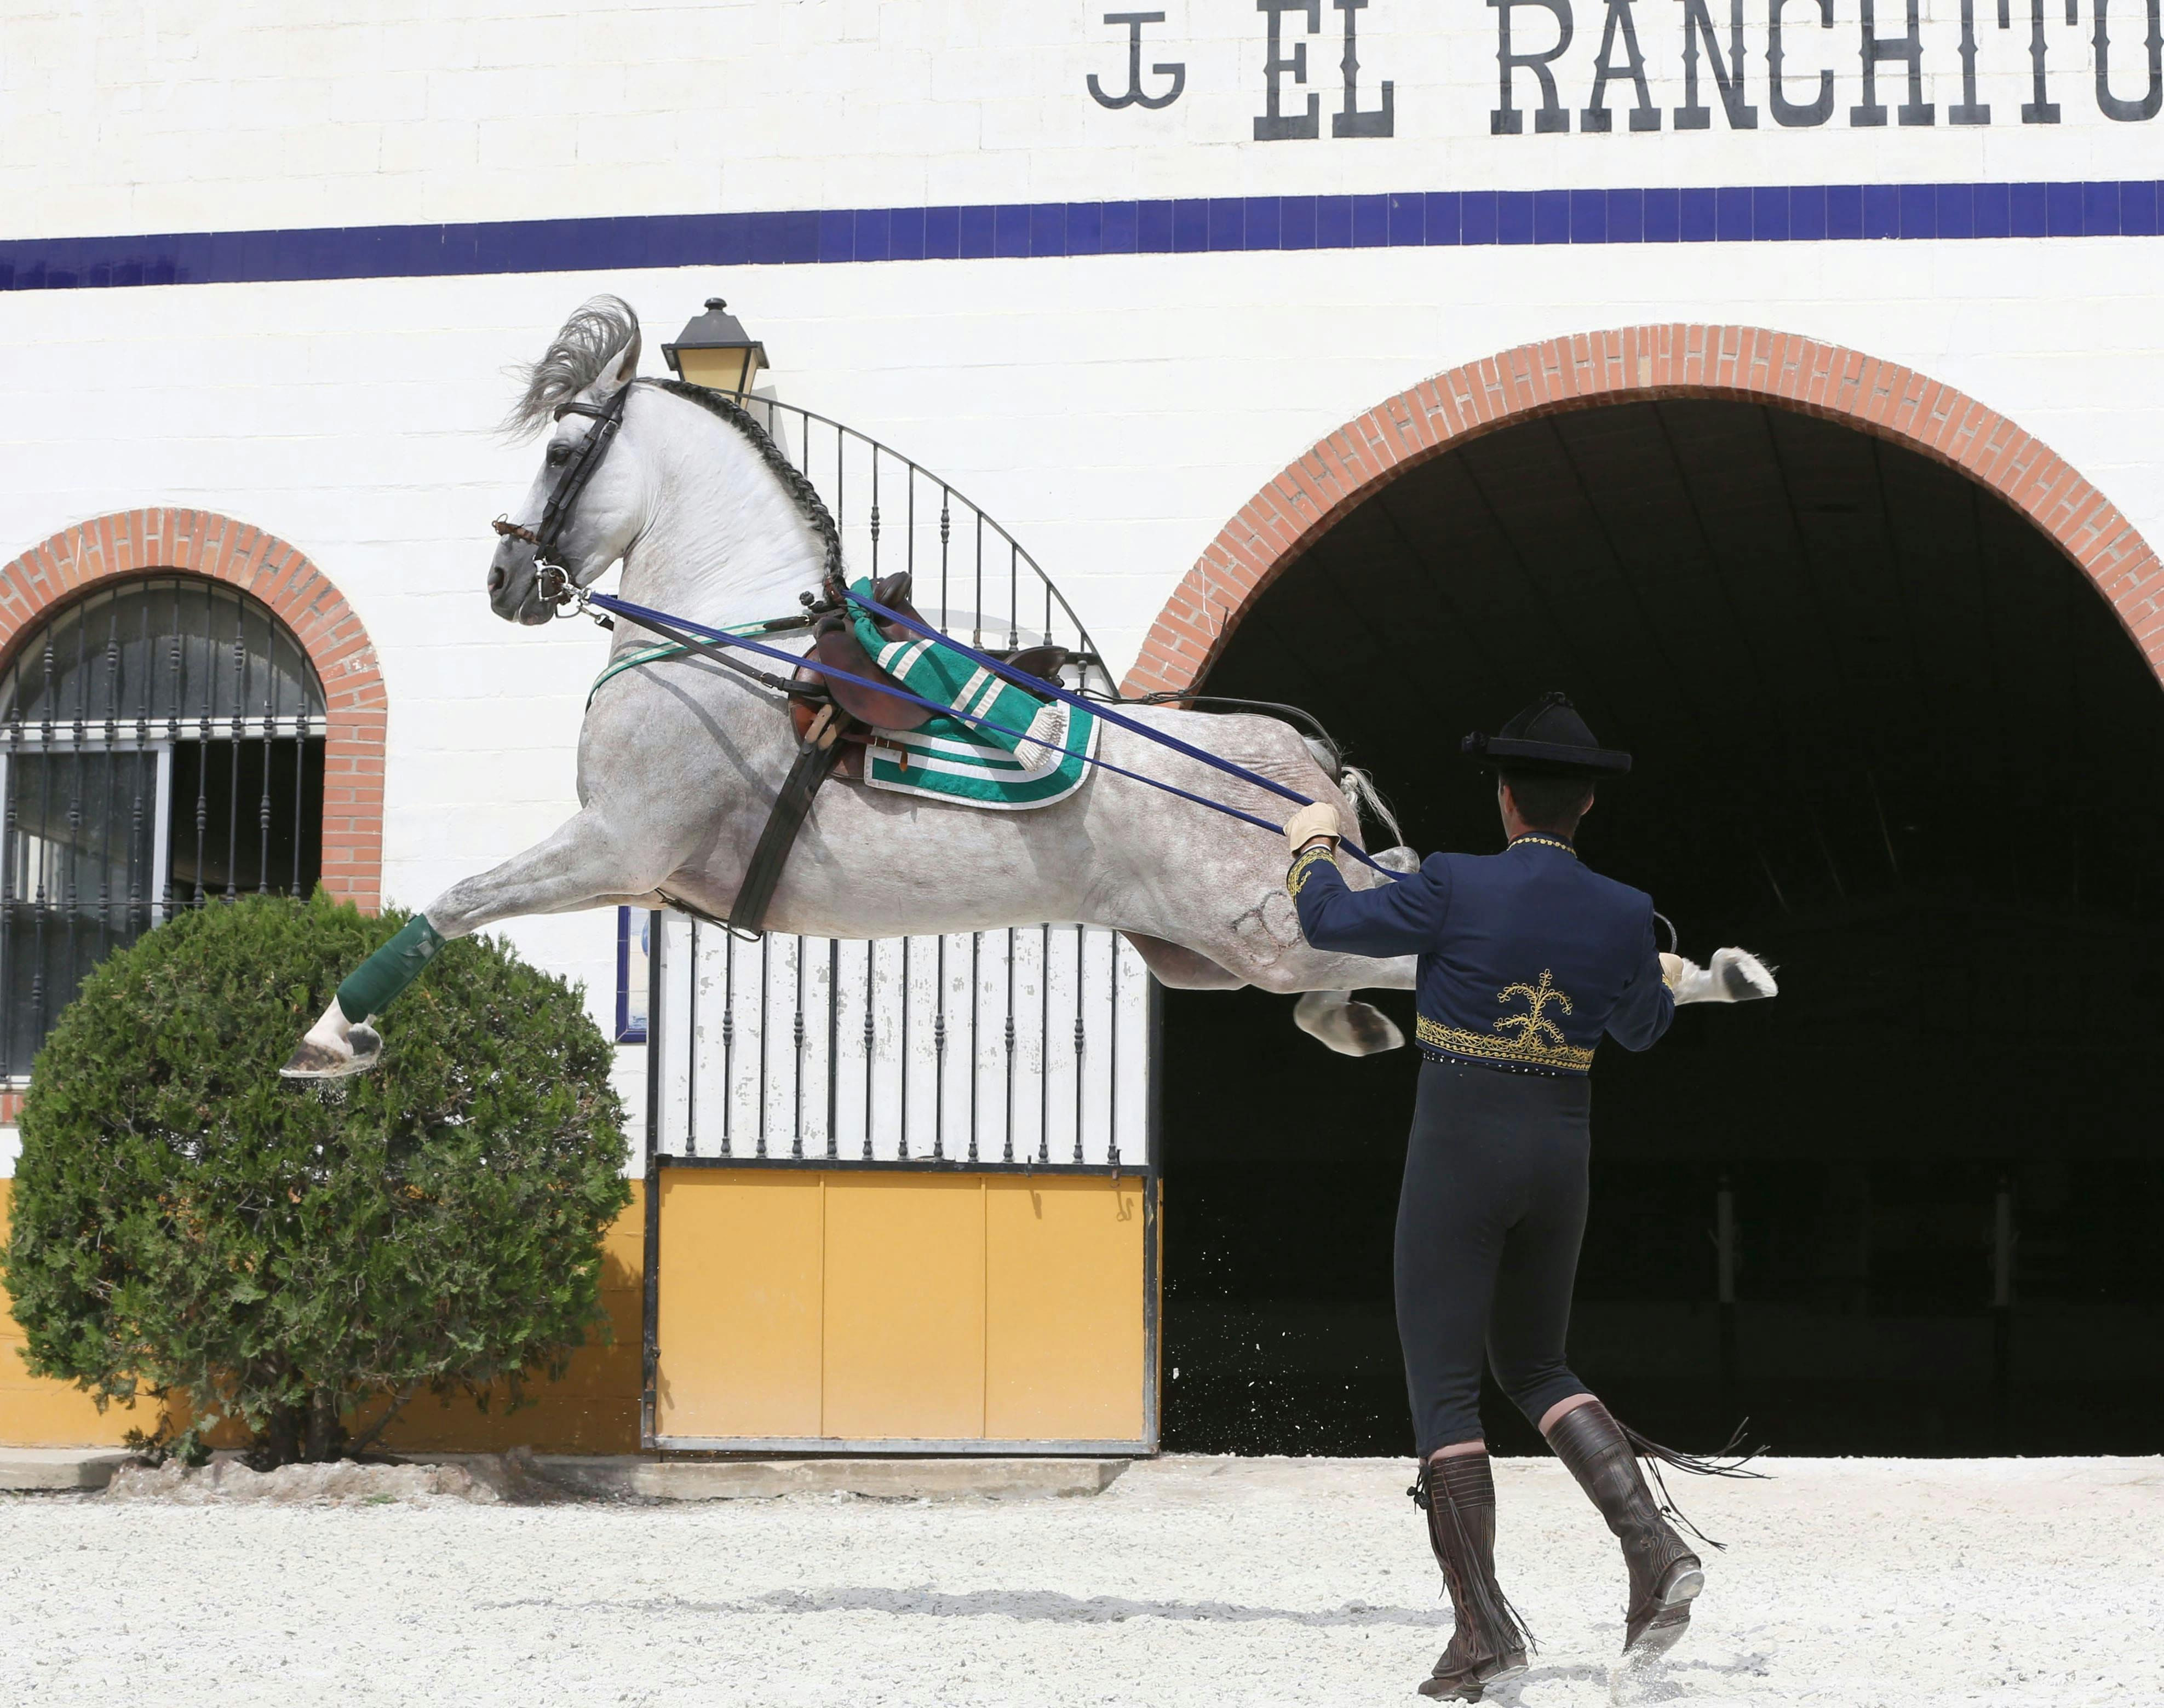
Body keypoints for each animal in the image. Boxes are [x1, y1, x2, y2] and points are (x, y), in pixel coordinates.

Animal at [283, 290, 1757, 1065]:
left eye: (558, 451)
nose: (507, 579)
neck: (726, 629)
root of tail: (1300, 757)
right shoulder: (638, 870)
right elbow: (466, 899)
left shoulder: (620, 844)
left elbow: (456, 900)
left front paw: (331, 1034)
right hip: (1213, 954)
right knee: (1392, 927)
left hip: (1255, 932)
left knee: (1430, 950)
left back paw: (1676, 982)